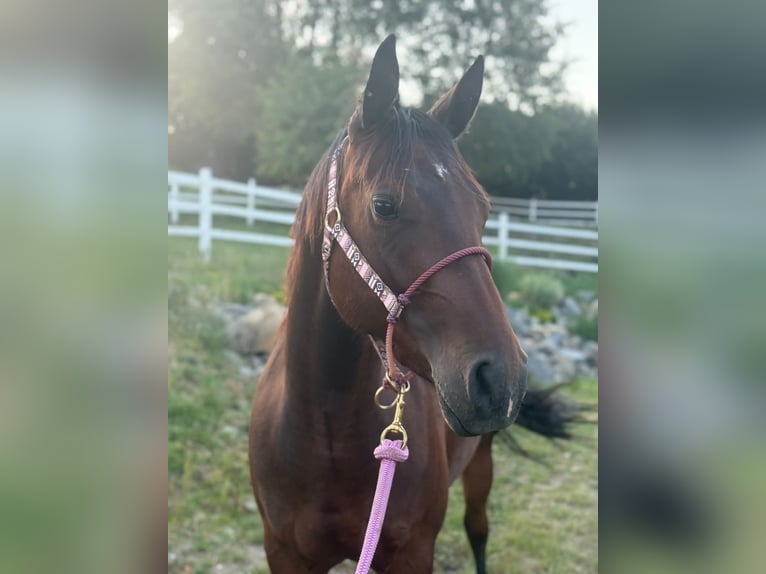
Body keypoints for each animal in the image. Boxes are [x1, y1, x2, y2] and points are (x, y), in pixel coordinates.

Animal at [250, 34, 541, 573]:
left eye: (483, 210)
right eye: (384, 206)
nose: (500, 378)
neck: (325, 433)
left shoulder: (412, 552)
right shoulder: (284, 551)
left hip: (482, 463)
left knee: (478, 530)